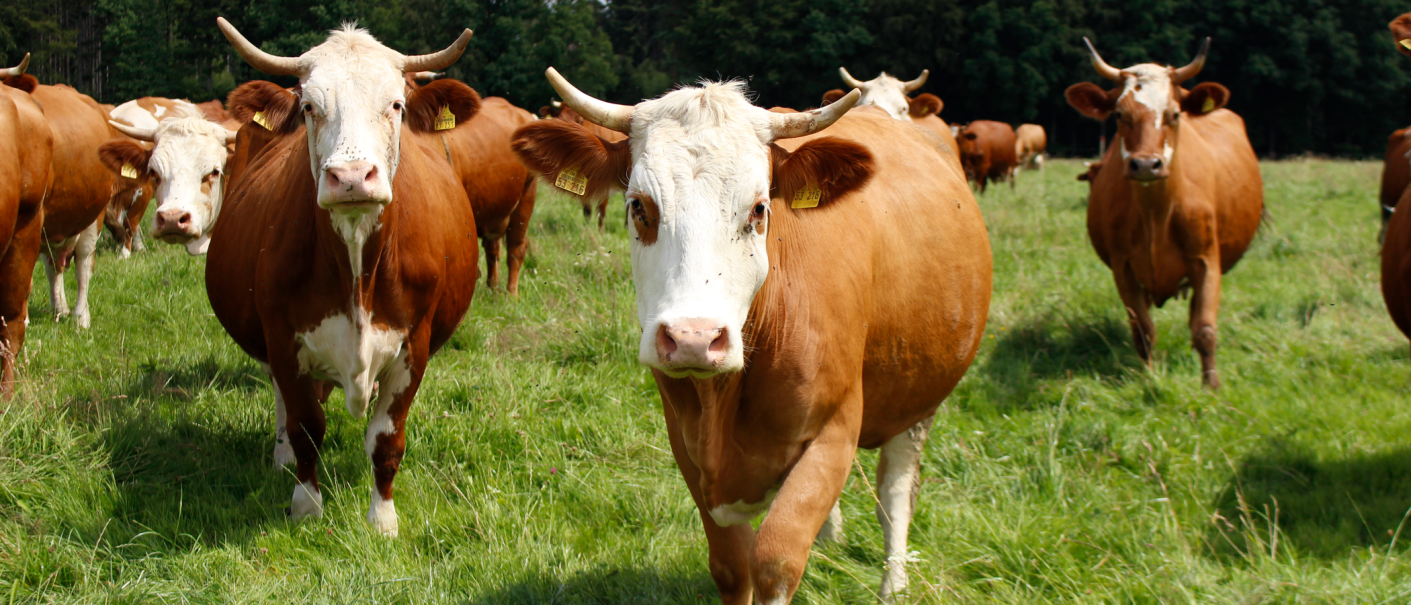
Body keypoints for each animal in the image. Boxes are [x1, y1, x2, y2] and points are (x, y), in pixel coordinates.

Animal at [209, 18, 480, 537]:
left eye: (395, 104)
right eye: (309, 107)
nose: (352, 177)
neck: (356, 268)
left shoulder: (414, 345)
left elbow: (386, 439)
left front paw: (383, 519)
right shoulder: (282, 339)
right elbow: (306, 427)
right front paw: (306, 507)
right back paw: (280, 456)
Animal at [537, 99, 627, 229]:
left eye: (580, 120)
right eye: (559, 117)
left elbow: (601, 209)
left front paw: (600, 230)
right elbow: (587, 209)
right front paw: (587, 228)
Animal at [1065, 37, 1263, 389]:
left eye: (1174, 114)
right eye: (1119, 114)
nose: (1146, 165)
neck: (1155, 214)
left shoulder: (1207, 261)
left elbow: (1205, 329)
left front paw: (1210, 386)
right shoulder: (1124, 269)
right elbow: (1143, 331)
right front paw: (1149, 377)